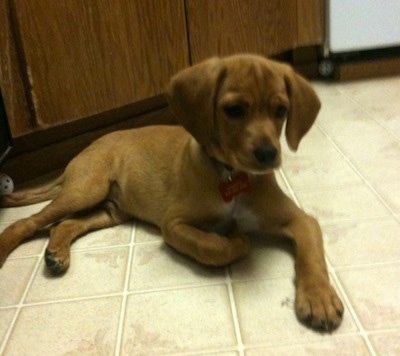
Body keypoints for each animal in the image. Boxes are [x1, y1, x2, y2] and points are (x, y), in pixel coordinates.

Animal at [0, 55, 344, 330]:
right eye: (234, 110)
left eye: (281, 110)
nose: (268, 154)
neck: (231, 175)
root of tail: (87, 147)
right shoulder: (174, 224)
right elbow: (211, 246)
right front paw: (236, 242)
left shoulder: (301, 220)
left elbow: (312, 255)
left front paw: (319, 297)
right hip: (87, 188)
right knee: (28, 221)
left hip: (110, 210)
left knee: (65, 224)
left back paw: (57, 254)